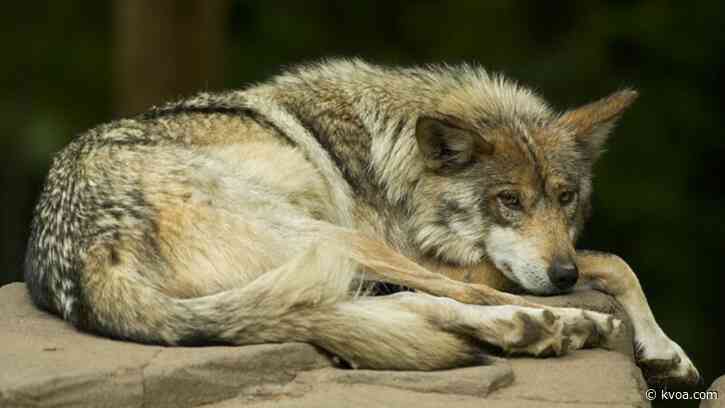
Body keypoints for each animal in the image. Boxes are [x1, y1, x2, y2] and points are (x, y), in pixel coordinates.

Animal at [25, 59, 698, 386]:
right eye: (508, 201)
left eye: (564, 198)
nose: (560, 276)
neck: (393, 157)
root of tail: (85, 256)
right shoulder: (440, 256)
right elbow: (610, 260)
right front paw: (654, 342)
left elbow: (616, 263)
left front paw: (665, 351)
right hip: (336, 240)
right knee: (456, 299)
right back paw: (563, 324)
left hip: (323, 264)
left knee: (390, 310)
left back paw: (533, 328)